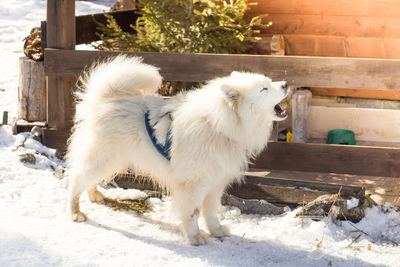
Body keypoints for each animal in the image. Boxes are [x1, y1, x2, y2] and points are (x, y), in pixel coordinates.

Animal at [67, 55, 290, 246]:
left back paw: (94, 195)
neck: (218, 125)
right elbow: (192, 213)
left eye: (269, 82)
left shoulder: (216, 182)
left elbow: (211, 211)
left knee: (89, 180)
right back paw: (75, 213)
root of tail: (108, 98)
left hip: (113, 160)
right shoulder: (194, 184)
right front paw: (195, 237)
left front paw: (216, 231)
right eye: (264, 89)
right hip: (103, 157)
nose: (286, 84)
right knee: (76, 181)